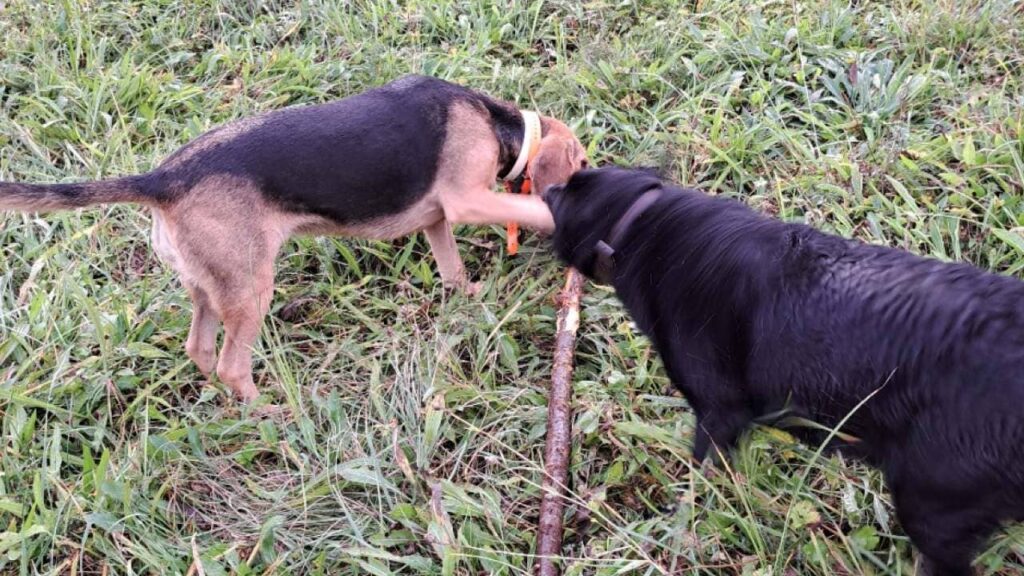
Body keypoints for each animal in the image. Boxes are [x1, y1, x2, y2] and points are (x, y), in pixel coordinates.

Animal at [0, 75, 585, 399]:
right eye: (581, 162)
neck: (501, 124)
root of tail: (163, 179)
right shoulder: (467, 199)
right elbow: (532, 207)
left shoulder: (438, 218)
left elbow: (450, 264)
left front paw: (467, 294)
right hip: (251, 288)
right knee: (233, 365)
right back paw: (270, 415)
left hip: (211, 284)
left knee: (201, 349)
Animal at [548, 166, 1024, 573]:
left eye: (569, 188)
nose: (548, 186)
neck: (645, 226)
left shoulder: (720, 411)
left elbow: (700, 479)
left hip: (930, 500)